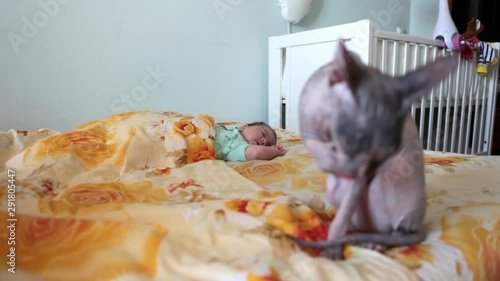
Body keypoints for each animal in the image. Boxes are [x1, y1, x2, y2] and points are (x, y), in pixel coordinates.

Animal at [286, 41, 458, 258]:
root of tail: (417, 226)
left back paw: (374, 243)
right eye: (348, 145)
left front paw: (331, 251)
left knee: (388, 232)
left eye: (378, 160)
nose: (354, 173)